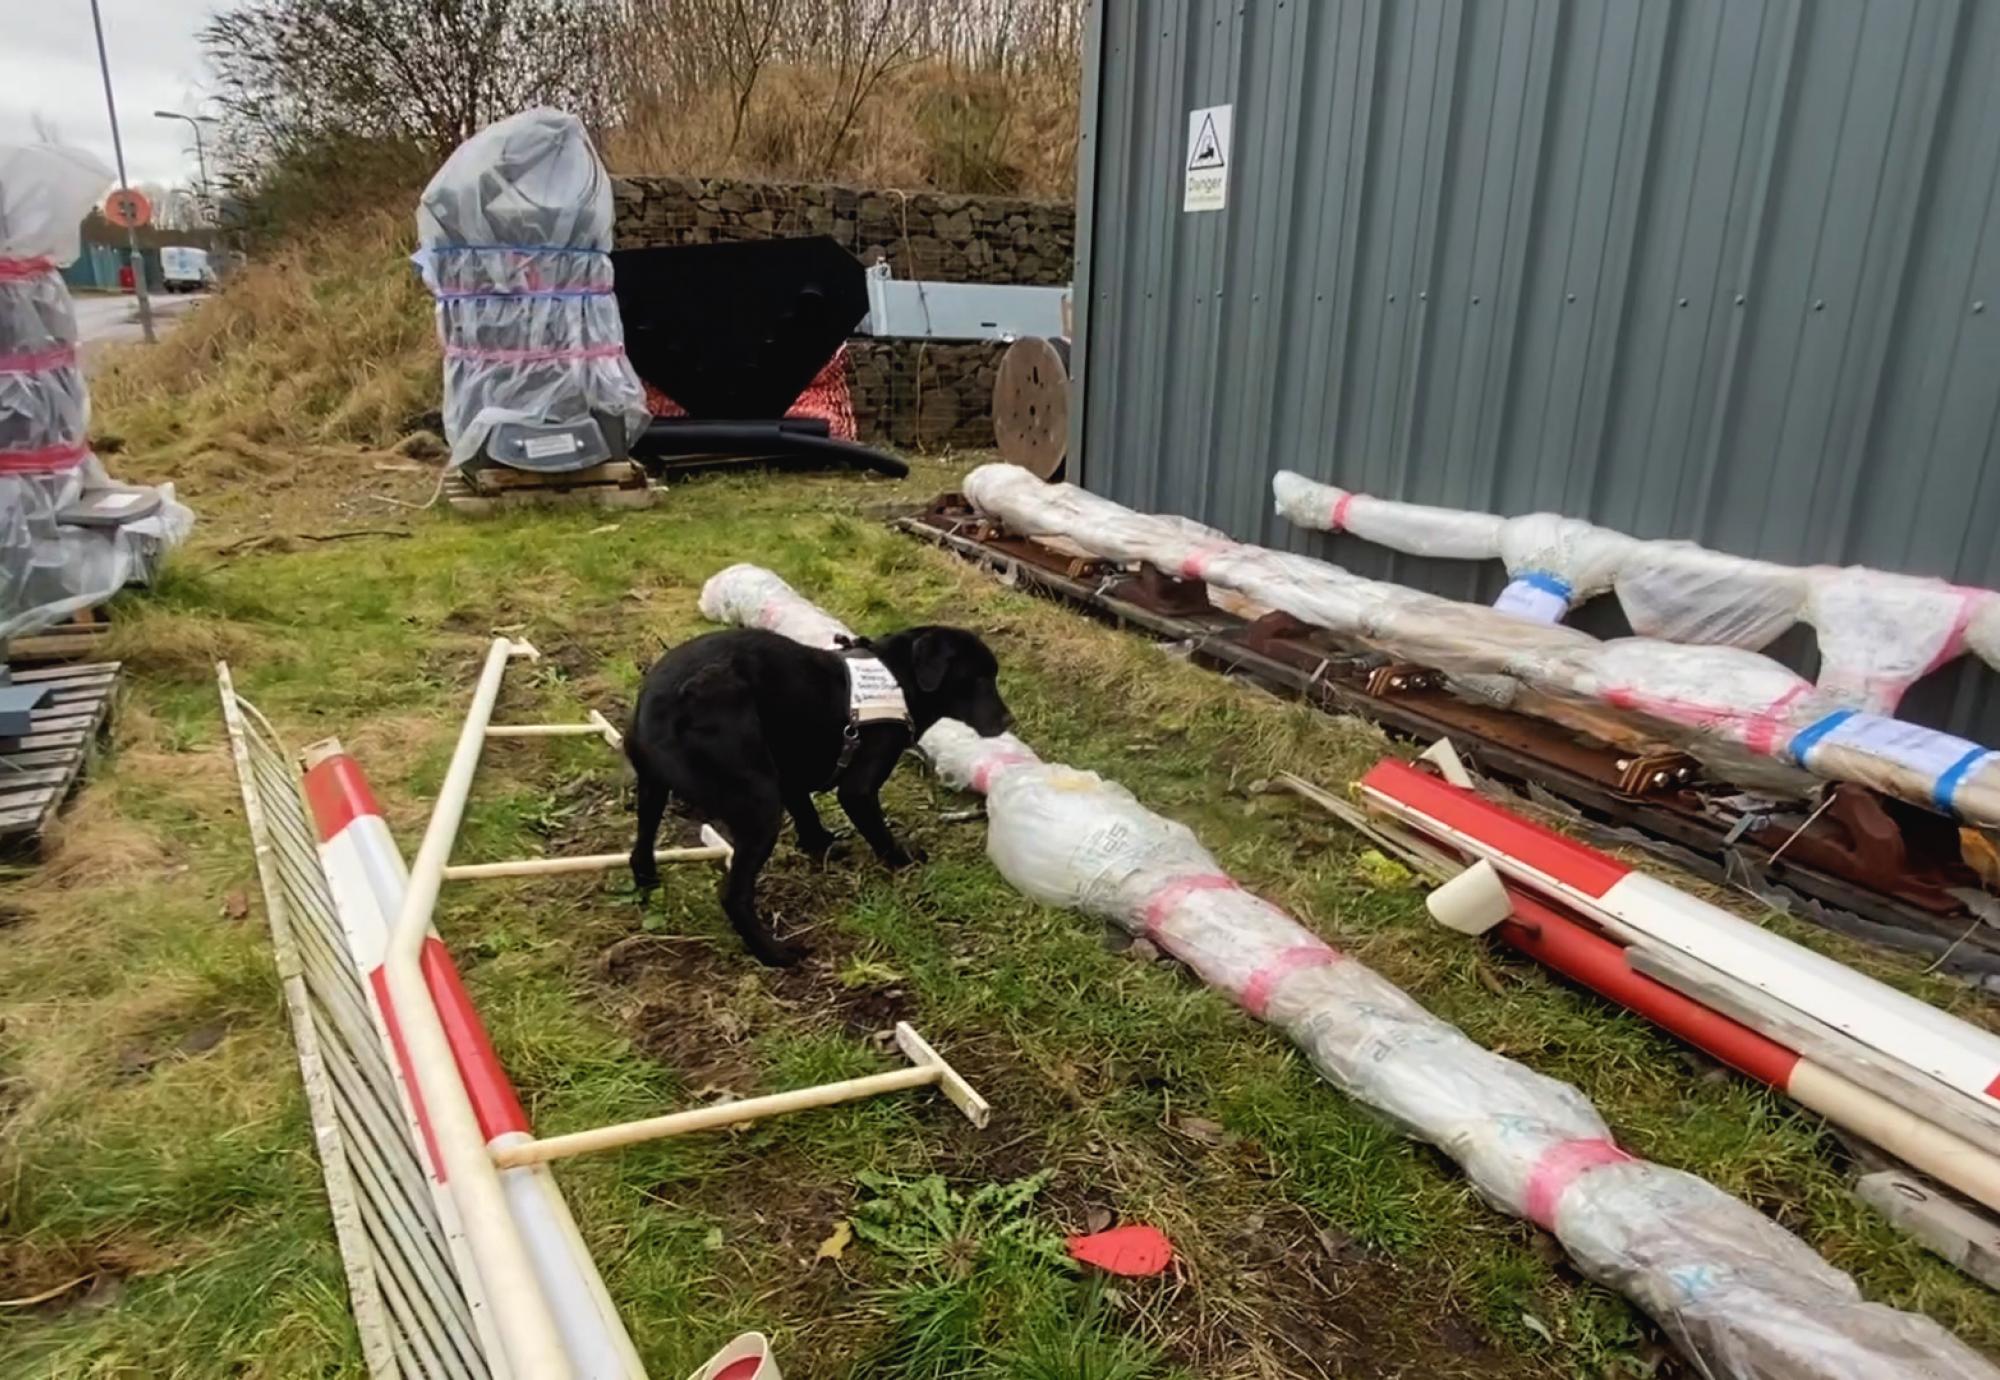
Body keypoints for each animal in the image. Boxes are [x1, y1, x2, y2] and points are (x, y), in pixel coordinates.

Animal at [628, 620, 1008, 956]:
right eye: (978, 679)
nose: (1009, 720)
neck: (899, 678)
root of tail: (658, 706)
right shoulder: (857, 791)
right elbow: (879, 833)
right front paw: (903, 859)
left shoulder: (789, 776)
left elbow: (807, 815)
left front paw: (822, 845)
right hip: (760, 804)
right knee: (733, 896)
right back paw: (775, 954)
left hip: (654, 793)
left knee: (640, 851)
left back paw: (648, 889)